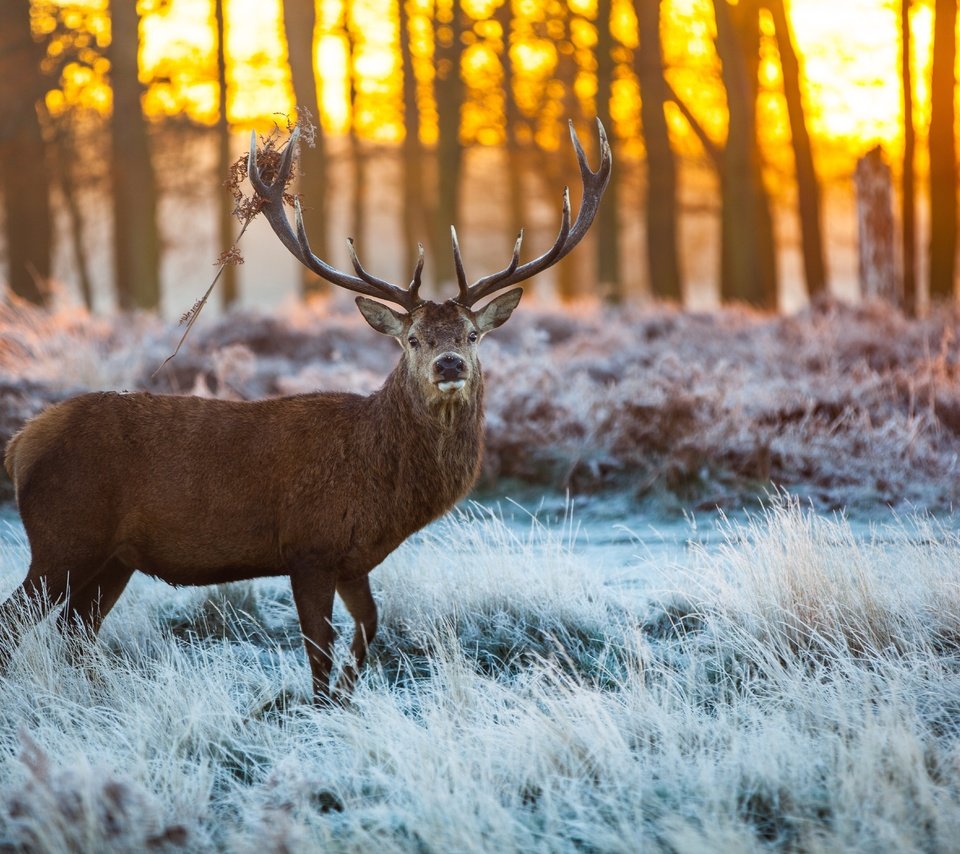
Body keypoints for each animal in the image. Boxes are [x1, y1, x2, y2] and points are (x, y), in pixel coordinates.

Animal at [0, 122, 612, 708]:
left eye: (471, 334)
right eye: (413, 338)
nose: (449, 364)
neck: (384, 490)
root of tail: (21, 443)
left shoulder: (354, 560)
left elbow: (368, 629)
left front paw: (345, 695)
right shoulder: (308, 548)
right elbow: (319, 648)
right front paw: (320, 706)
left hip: (113, 558)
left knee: (76, 632)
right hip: (63, 536)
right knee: (19, 623)